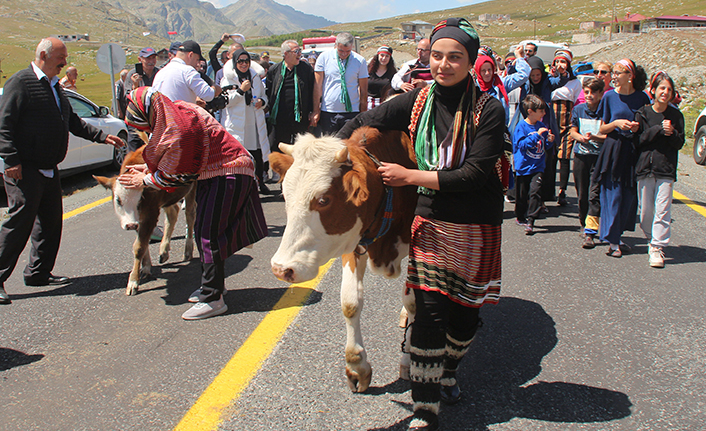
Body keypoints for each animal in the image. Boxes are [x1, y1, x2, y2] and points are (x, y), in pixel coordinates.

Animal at [94, 146, 195, 296]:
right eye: (118, 200)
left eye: (139, 200)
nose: (130, 225)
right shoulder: (139, 218)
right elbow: (143, 242)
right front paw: (146, 267)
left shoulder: (150, 214)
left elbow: (139, 246)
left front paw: (133, 282)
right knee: (172, 213)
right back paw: (164, 251)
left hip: (192, 188)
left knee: (190, 214)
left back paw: (188, 250)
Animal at [266, 126, 416, 394]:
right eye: (285, 195)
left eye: (323, 199)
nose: (281, 269)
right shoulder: (354, 242)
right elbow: (350, 302)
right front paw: (356, 367)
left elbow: (413, 301)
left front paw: (408, 359)